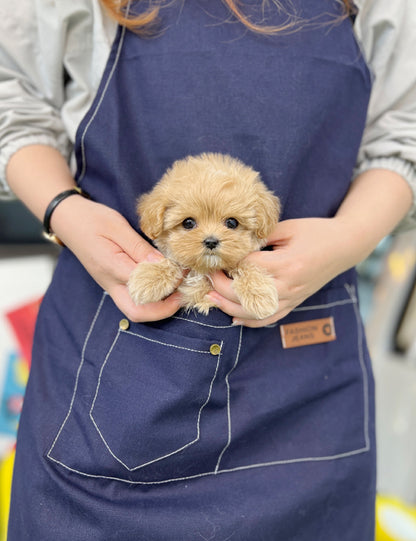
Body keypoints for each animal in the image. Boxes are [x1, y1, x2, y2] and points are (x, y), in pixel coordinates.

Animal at [128, 152, 282, 318]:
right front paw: (148, 279)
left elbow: (243, 265)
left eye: (232, 223)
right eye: (188, 223)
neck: (203, 270)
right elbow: (173, 262)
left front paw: (259, 295)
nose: (211, 242)